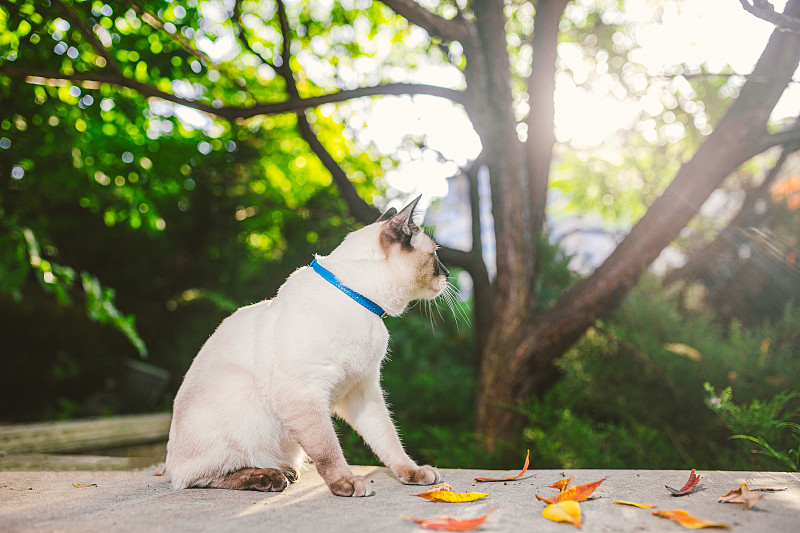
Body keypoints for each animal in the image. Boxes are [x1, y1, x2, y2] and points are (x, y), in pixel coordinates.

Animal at [164, 194, 450, 494]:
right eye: (436, 255)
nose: (448, 274)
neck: (361, 301)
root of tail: (169, 466)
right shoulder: (304, 392)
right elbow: (328, 449)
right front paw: (346, 483)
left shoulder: (361, 390)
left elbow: (389, 439)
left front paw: (413, 473)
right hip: (240, 395)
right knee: (200, 478)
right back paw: (270, 477)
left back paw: (287, 471)